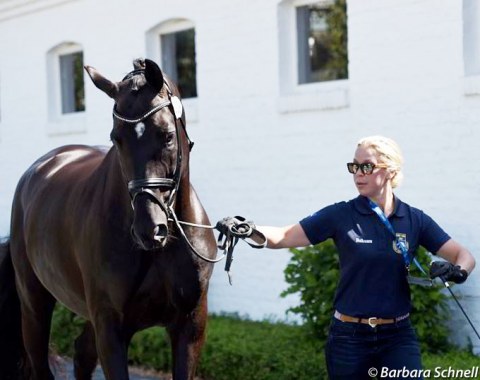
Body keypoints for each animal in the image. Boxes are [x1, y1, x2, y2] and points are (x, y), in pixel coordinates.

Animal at [0, 58, 216, 378]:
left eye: (167, 135)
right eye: (117, 138)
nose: (149, 229)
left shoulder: (190, 327)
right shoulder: (111, 327)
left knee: (82, 353)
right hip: (34, 304)